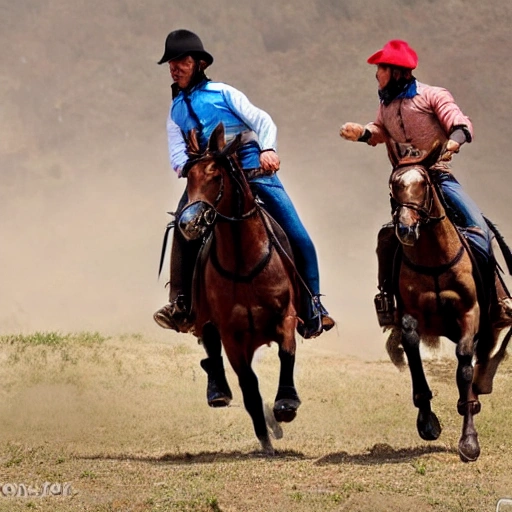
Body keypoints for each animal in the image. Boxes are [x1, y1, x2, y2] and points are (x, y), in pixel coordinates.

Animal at [178, 122, 302, 454]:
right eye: (189, 177)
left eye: (216, 176)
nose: (189, 223)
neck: (243, 262)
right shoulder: (231, 335)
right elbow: (249, 386)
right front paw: (265, 439)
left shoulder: (286, 316)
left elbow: (287, 353)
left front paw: (286, 403)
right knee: (213, 355)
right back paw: (220, 392)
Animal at [386, 146, 510, 462]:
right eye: (393, 185)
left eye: (423, 184)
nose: (406, 229)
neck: (434, 258)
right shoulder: (411, 313)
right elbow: (412, 348)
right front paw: (427, 421)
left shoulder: (469, 312)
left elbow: (465, 363)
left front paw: (469, 441)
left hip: (489, 325)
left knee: (481, 357)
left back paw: (476, 393)